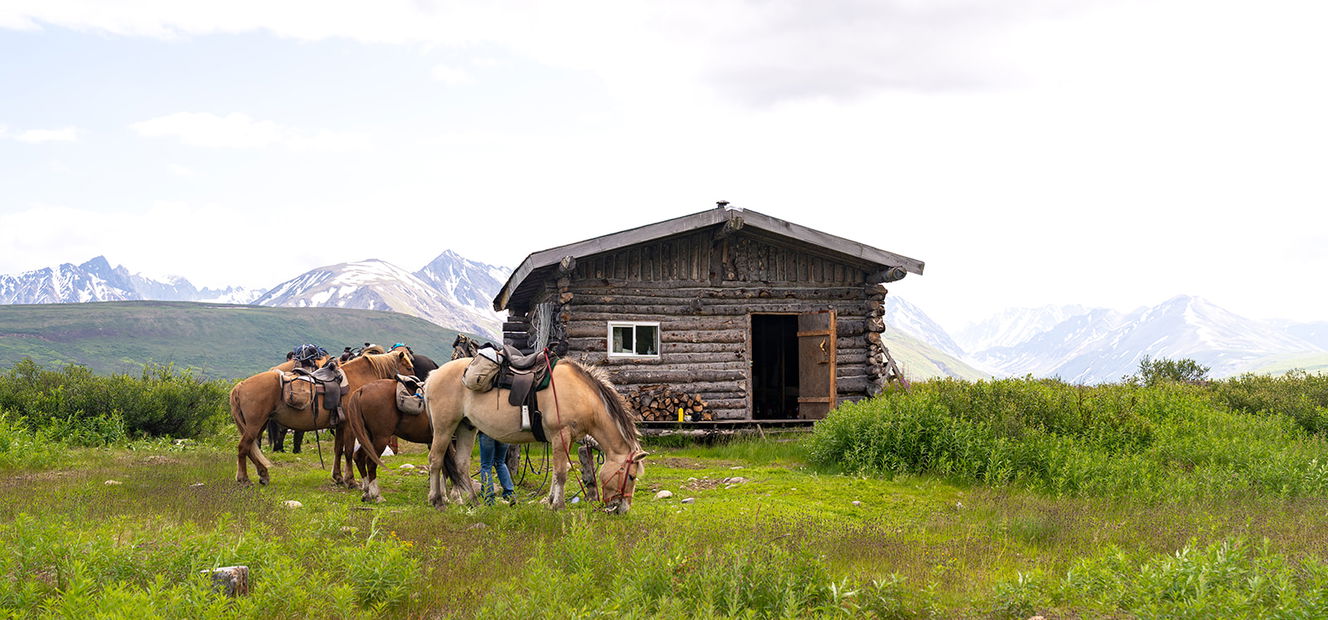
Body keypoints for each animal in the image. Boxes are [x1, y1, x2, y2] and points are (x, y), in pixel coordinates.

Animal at [227, 349, 415, 485]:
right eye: (409, 367)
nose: (416, 382)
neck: (356, 380)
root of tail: (240, 385)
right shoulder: (349, 426)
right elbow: (348, 452)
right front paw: (350, 480)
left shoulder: (340, 426)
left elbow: (338, 450)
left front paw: (338, 477)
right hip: (254, 425)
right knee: (243, 448)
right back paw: (244, 479)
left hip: (259, 425)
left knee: (250, 449)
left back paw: (263, 475)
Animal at [420, 357, 648, 514]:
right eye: (631, 476)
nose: (623, 510)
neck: (582, 395)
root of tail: (432, 376)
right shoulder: (561, 435)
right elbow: (561, 473)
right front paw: (558, 506)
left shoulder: (566, 440)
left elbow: (559, 471)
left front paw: (550, 501)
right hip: (444, 428)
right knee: (436, 460)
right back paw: (437, 500)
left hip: (466, 428)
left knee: (461, 464)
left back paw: (475, 502)